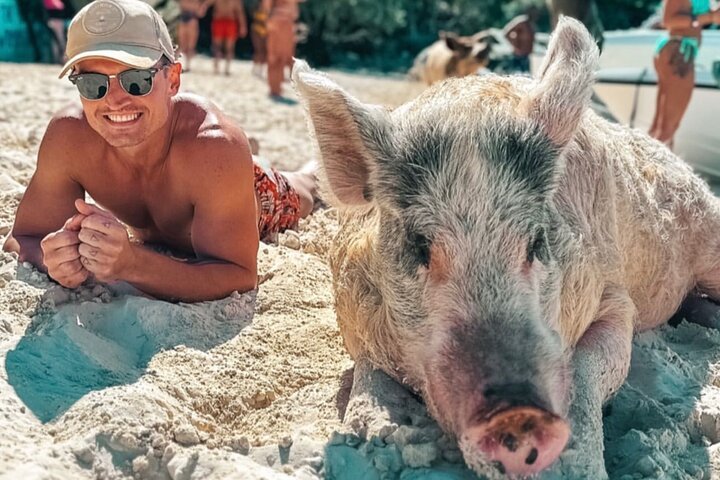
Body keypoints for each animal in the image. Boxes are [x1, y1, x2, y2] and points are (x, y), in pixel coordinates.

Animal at [292, 17, 720, 478]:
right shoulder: (351, 315)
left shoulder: (615, 295)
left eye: (535, 241)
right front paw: (368, 437)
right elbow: (366, 377)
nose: (517, 413)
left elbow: (590, 364)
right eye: (420, 246)